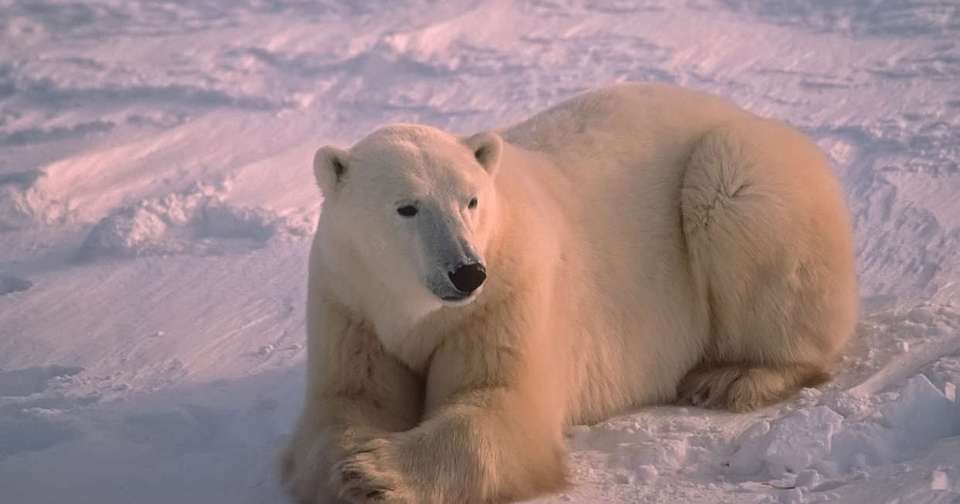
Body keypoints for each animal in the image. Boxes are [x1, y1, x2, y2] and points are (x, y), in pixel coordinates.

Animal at [280, 83, 858, 504]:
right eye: (407, 207)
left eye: (470, 200)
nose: (467, 272)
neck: (418, 309)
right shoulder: (350, 299)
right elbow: (350, 399)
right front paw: (346, 466)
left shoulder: (510, 292)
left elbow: (502, 403)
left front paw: (376, 472)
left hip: (744, 169)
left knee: (734, 198)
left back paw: (733, 376)